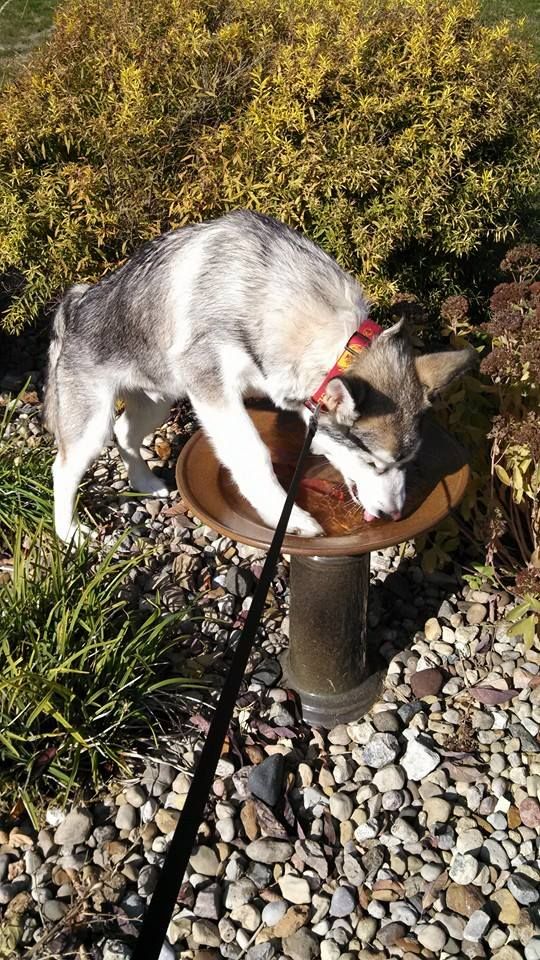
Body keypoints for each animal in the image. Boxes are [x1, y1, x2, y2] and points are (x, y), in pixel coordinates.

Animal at [43, 208, 472, 540]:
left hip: (156, 401)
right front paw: (289, 516)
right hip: (90, 425)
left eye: (407, 463)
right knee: (63, 469)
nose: (394, 515)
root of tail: (77, 301)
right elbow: (252, 452)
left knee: (125, 433)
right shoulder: (211, 387)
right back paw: (69, 534)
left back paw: (145, 483)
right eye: (373, 464)